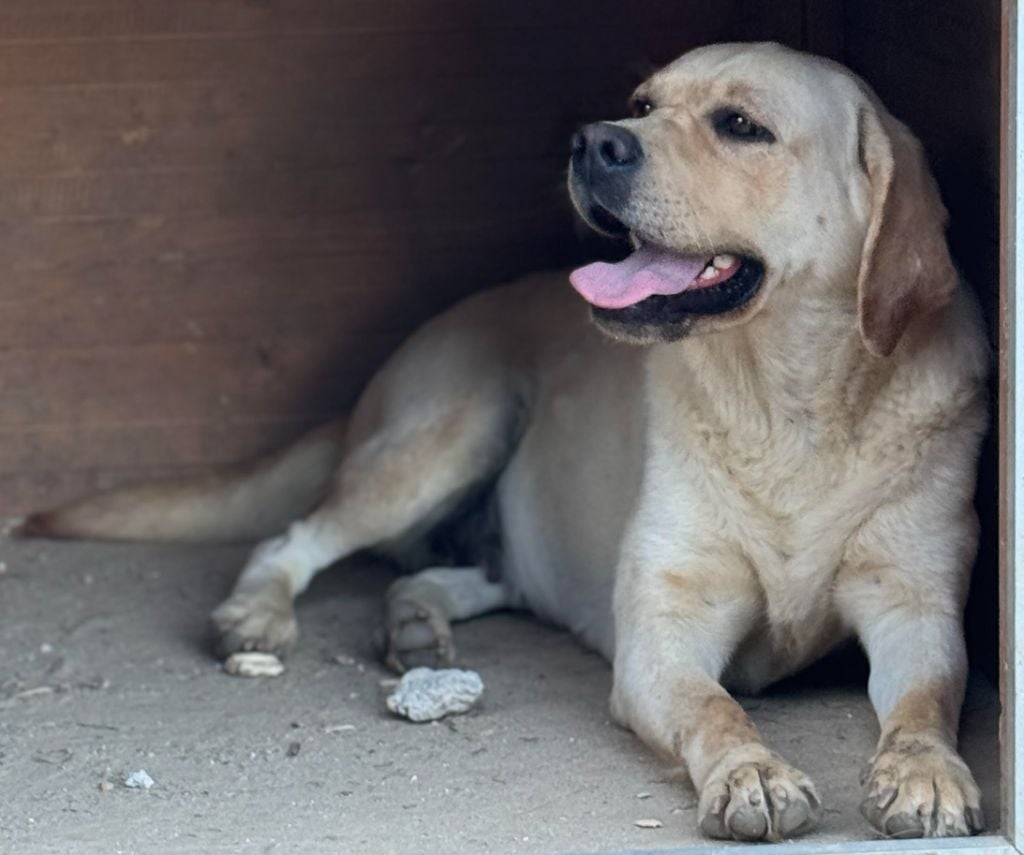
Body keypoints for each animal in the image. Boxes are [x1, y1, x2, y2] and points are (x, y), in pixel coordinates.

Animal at [19, 43, 987, 839]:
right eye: (641, 102)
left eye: (742, 125)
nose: (595, 141)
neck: (790, 408)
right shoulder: (662, 632)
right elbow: (716, 709)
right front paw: (753, 773)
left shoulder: (916, 607)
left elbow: (929, 699)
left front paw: (927, 772)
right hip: (450, 434)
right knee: (290, 537)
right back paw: (260, 613)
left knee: (453, 571)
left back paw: (414, 623)